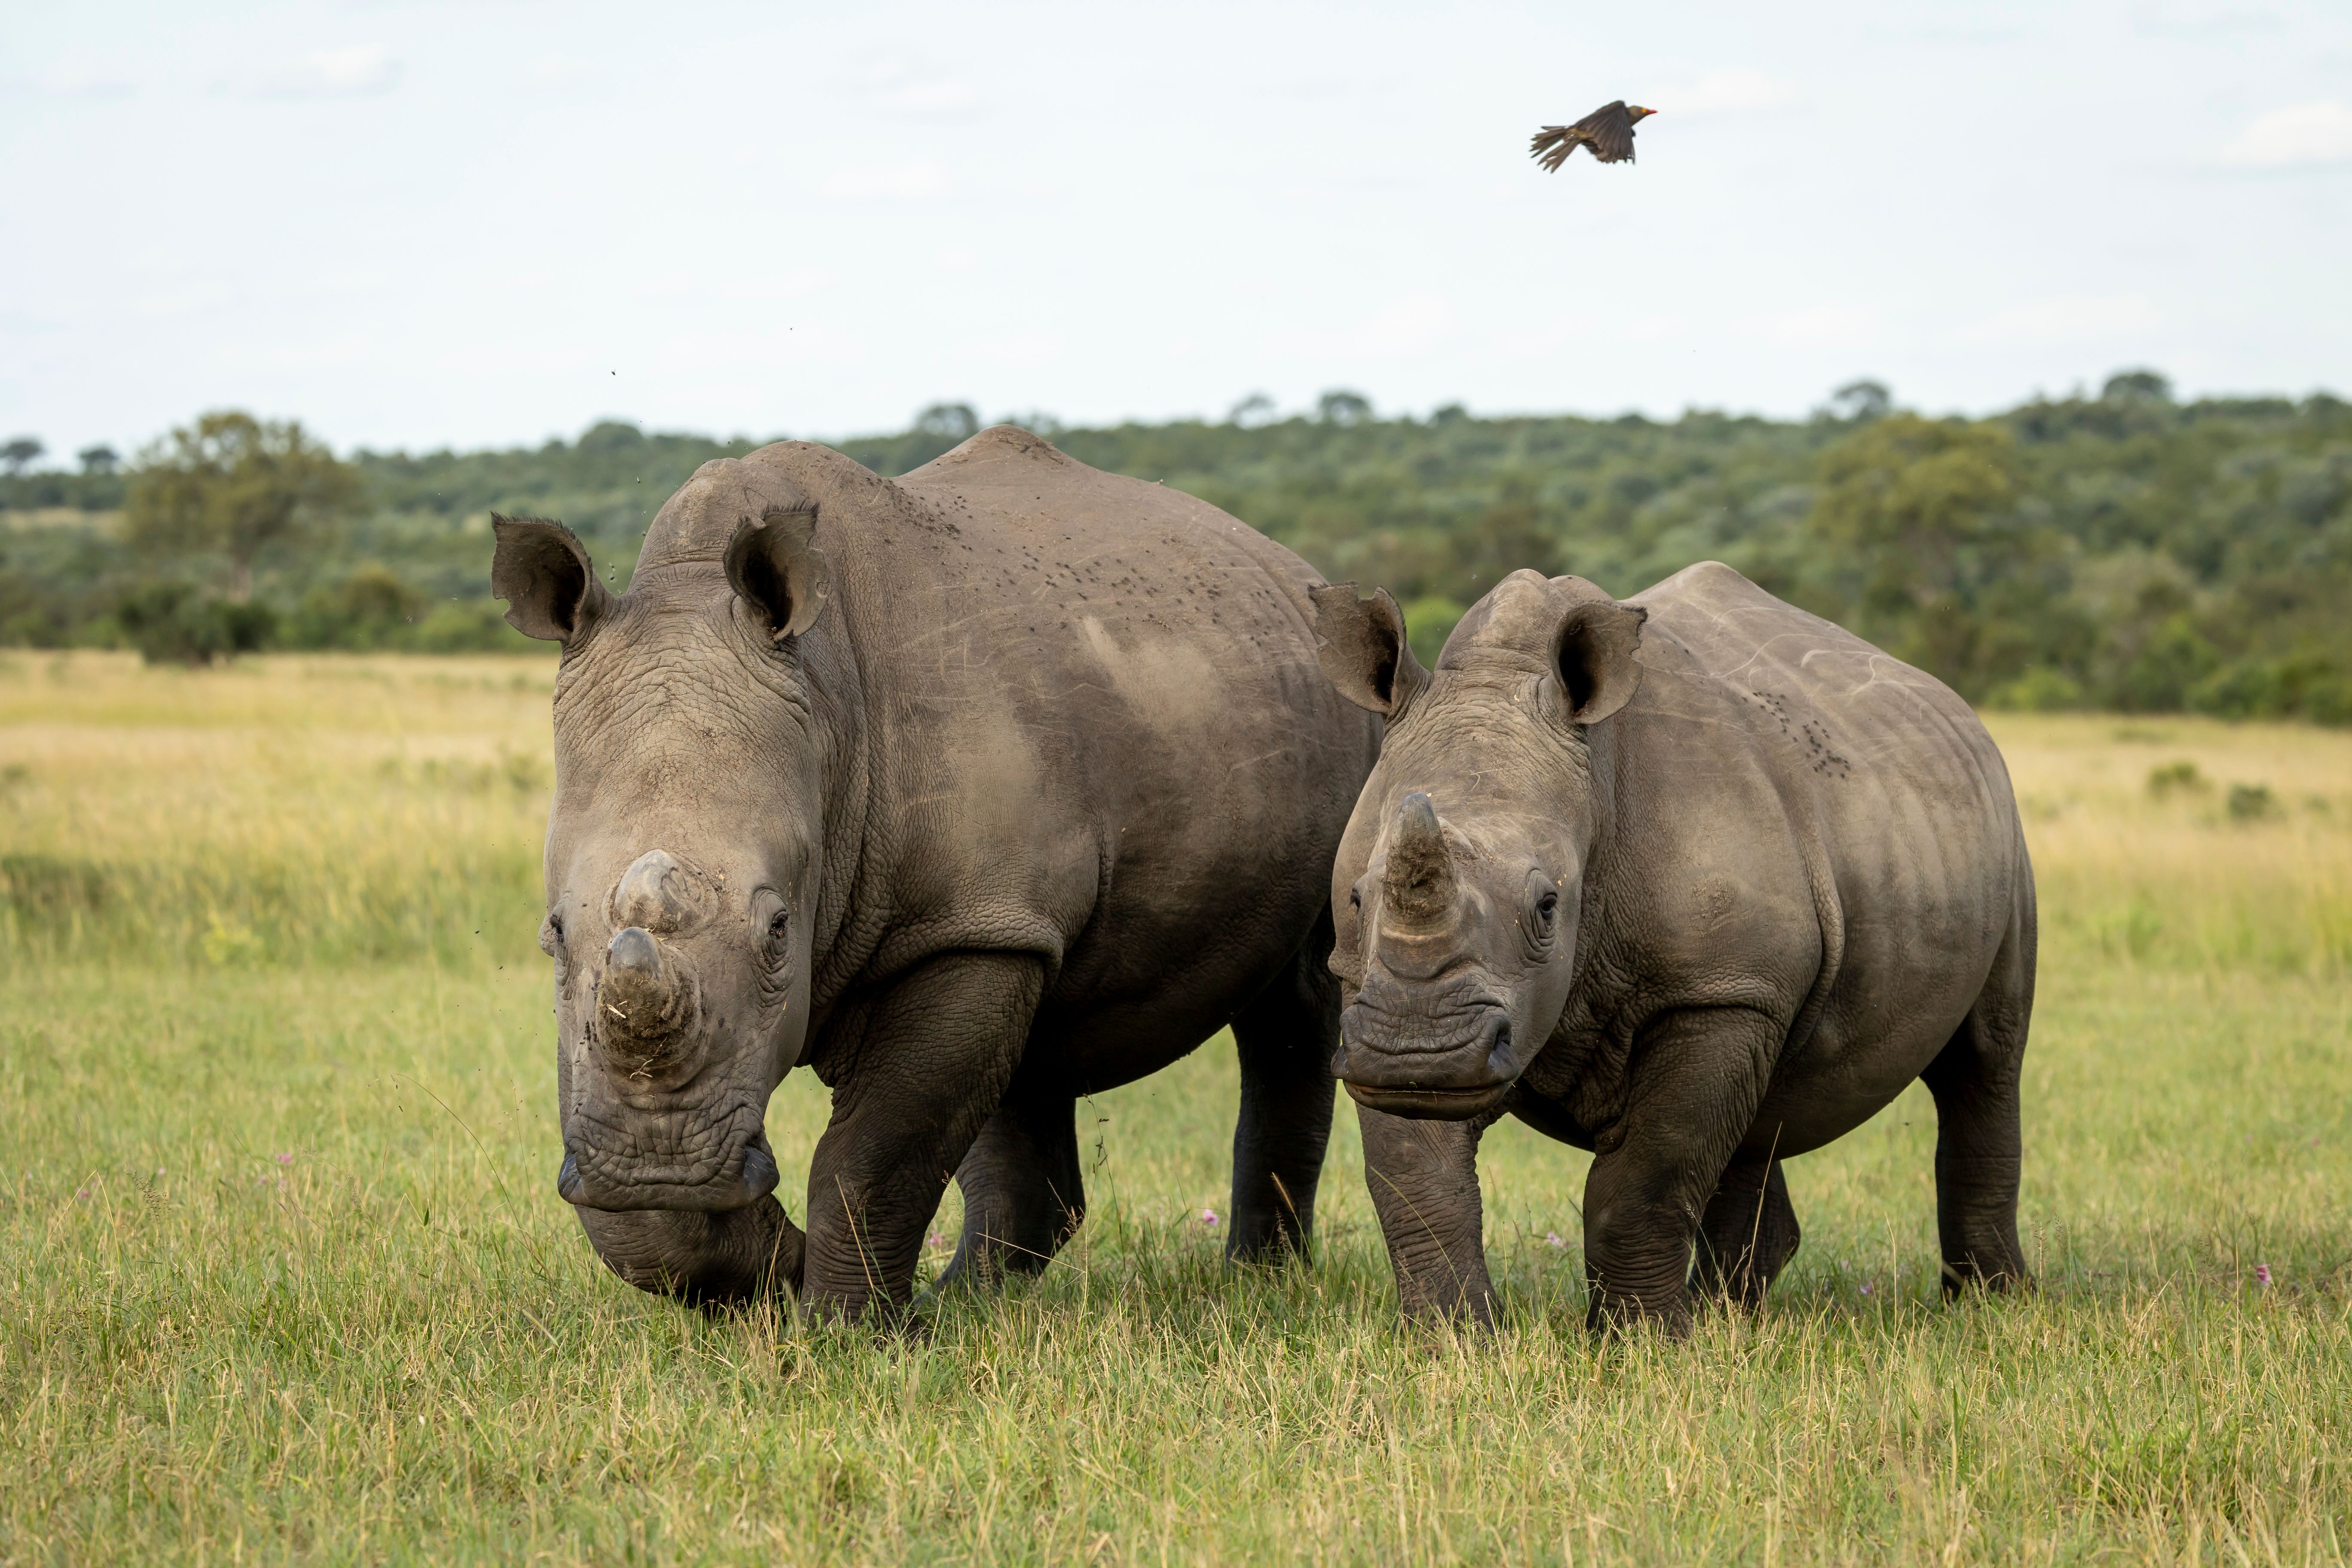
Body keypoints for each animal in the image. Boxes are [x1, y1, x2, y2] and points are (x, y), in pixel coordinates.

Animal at [494, 426, 1379, 1321]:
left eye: (778, 932)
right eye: (554, 934)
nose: (660, 1166)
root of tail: (1284, 560)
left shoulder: (960, 929)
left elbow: (874, 1151)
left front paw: (843, 1326)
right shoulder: (981, 913)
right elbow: (658, 1226)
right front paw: (781, 1265)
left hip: (1340, 717)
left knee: (1294, 1002)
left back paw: (1257, 1281)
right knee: (1029, 1045)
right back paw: (975, 1303)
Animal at [1311, 563, 2035, 1331]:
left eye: (1547, 908)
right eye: (1356, 899)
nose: (1419, 1055)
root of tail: (1962, 713)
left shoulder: (1717, 992)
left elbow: (1648, 1180)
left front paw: (1642, 1342)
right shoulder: (1370, 992)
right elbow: (1418, 1181)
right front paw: (1454, 1340)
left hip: (1996, 831)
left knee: (1986, 1063)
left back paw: (1992, 1306)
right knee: (1763, 1114)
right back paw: (1731, 1317)